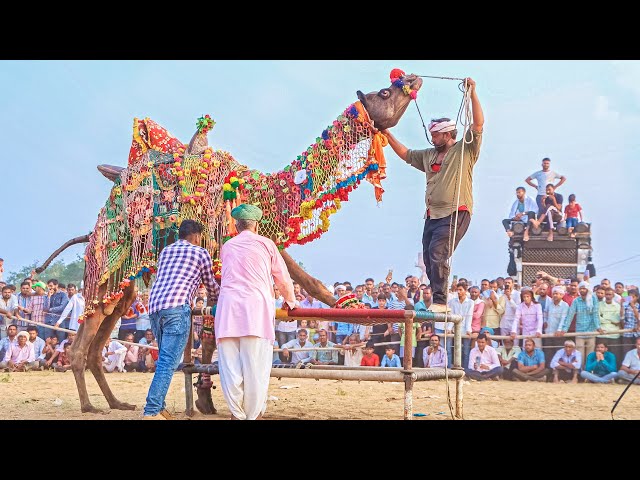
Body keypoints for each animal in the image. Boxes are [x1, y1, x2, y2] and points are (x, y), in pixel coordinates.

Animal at [37, 69, 422, 414]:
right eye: (384, 92)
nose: (413, 78)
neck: (267, 191)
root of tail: (94, 230)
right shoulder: (221, 249)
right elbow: (212, 328)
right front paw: (206, 399)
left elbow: (300, 280)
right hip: (105, 269)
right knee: (84, 341)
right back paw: (90, 406)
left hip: (123, 285)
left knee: (102, 333)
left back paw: (117, 402)